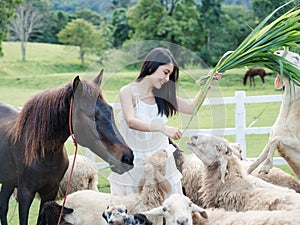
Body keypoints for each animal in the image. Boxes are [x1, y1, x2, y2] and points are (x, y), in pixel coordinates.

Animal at [0, 70, 134, 225]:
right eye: (90, 115)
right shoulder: (25, 194)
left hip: (8, 182)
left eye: (110, 110)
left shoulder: (49, 193)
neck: (45, 154)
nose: (128, 157)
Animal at [247, 50, 300, 178]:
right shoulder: (271, 139)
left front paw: (265, 168)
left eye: (296, 57)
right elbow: (258, 159)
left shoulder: (296, 146)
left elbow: (276, 140)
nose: (277, 52)